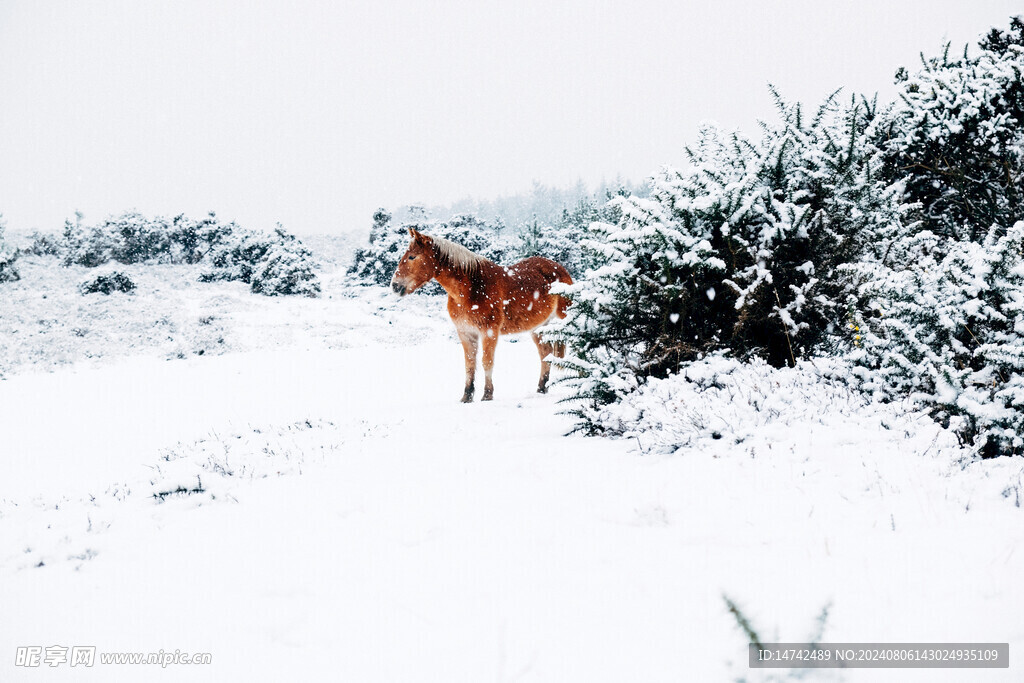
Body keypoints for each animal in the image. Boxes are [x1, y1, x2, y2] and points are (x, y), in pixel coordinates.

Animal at [390, 228, 573, 402]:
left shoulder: (489, 331)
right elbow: (470, 364)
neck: (472, 288)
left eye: (412, 256)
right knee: (545, 353)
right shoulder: (465, 333)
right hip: (538, 327)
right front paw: (467, 396)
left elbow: (487, 361)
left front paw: (487, 395)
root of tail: (561, 269)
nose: (395, 286)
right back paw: (542, 388)